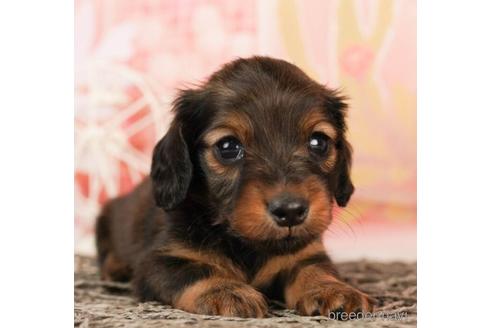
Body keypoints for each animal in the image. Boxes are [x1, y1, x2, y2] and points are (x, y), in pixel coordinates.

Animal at [95, 55, 372, 318]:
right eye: (227, 147)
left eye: (318, 142)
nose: (291, 211)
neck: (244, 242)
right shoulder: (159, 261)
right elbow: (196, 269)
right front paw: (226, 290)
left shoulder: (306, 252)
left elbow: (314, 268)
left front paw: (332, 289)